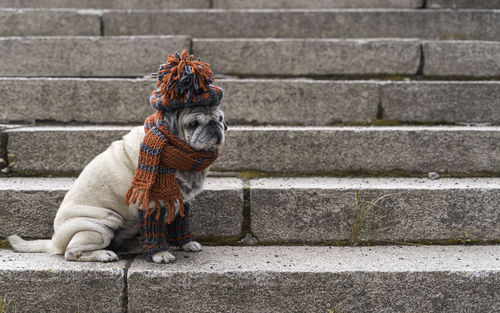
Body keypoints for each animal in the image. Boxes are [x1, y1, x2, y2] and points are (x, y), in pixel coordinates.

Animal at [7, 105, 226, 264]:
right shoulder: (152, 203)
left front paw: (186, 244)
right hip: (102, 225)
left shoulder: (182, 201)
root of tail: (54, 242)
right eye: (194, 123)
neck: (175, 150)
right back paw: (104, 255)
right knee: (71, 252)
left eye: (221, 119)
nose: (214, 125)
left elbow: (181, 223)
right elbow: (155, 230)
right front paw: (160, 253)